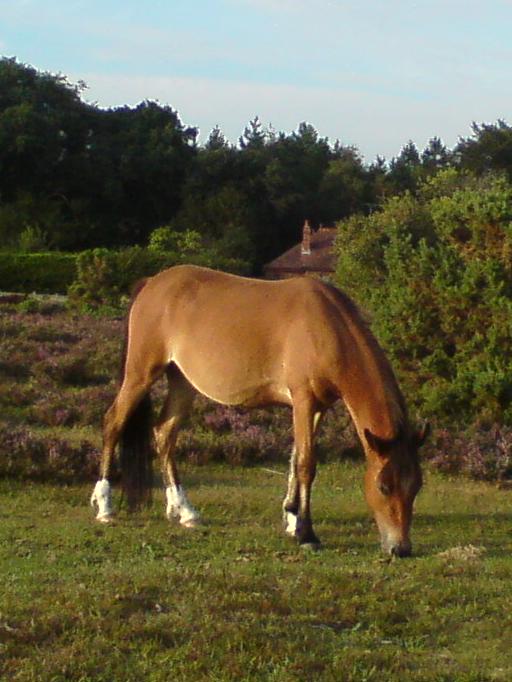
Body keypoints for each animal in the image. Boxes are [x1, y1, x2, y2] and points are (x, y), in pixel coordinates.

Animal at [91, 262, 428, 556]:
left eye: (417, 486)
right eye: (384, 486)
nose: (401, 548)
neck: (327, 325)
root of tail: (152, 282)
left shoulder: (317, 407)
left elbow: (295, 460)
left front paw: (292, 518)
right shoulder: (303, 401)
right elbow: (306, 464)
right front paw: (307, 534)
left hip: (182, 382)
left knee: (164, 433)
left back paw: (184, 510)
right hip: (141, 374)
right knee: (113, 423)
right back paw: (105, 506)